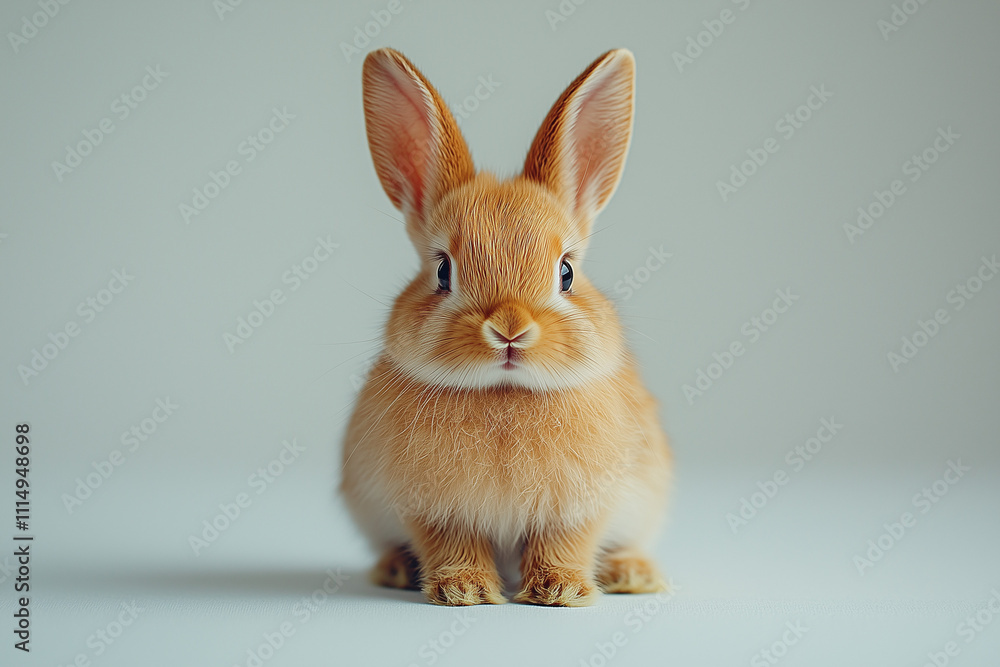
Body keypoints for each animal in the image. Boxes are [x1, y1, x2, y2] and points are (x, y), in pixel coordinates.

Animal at [340, 47, 672, 606]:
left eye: (566, 272)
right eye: (443, 271)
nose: (510, 329)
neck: (504, 392)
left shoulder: (583, 507)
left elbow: (567, 542)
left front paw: (560, 591)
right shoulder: (431, 509)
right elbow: (451, 544)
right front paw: (464, 591)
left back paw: (633, 575)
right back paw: (396, 570)